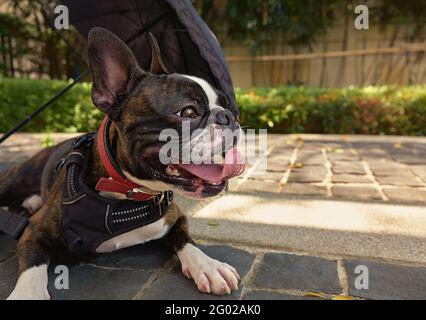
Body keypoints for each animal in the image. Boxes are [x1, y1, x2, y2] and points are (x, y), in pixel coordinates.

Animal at [1, 28, 245, 300]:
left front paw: (208, 265)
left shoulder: (176, 218)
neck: (128, 194)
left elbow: (185, 238)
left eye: (225, 105)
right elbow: (33, 263)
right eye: (188, 112)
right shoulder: (34, 229)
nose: (229, 116)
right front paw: (27, 293)